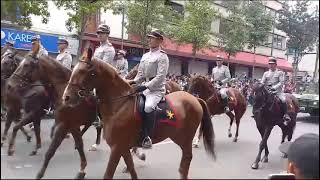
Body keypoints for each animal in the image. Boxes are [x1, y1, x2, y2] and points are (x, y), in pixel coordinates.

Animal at [62, 56, 218, 179]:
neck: (119, 105)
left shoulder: (117, 148)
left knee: (186, 160)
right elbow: (131, 168)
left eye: (83, 71)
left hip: (184, 139)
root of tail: (194, 98)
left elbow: (108, 174)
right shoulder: (123, 147)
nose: (66, 97)